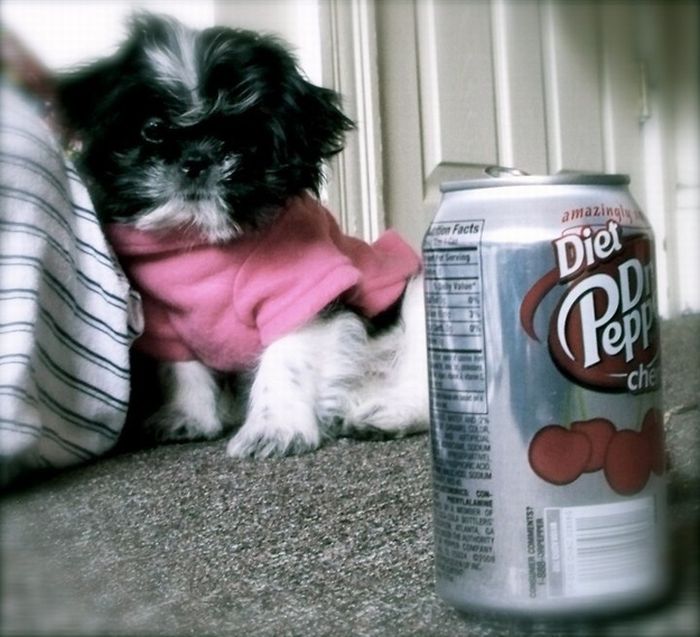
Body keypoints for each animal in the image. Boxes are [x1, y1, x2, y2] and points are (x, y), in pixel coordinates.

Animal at [57, 12, 426, 454]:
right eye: (153, 129)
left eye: (241, 135)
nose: (196, 158)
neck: (206, 244)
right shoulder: (169, 323)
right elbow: (182, 371)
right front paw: (186, 419)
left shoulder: (299, 295)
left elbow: (285, 360)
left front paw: (275, 429)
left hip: (420, 300)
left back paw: (386, 413)